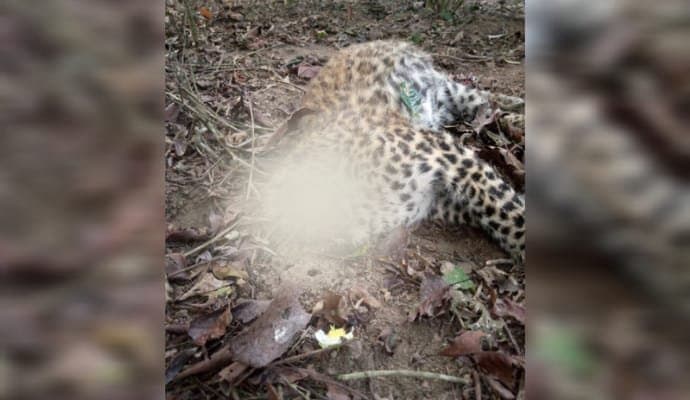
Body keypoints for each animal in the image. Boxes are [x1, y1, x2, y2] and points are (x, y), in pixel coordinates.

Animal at [263, 40, 525, 262]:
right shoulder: (434, 199)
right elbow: (492, 212)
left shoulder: (446, 152)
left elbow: (505, 206)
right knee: (487, 105)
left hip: (446, 88)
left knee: (486, 100)